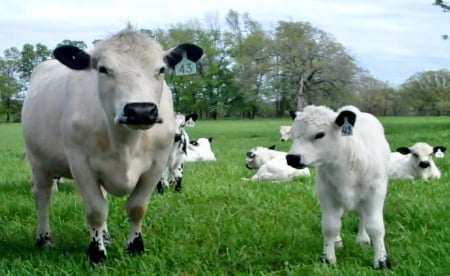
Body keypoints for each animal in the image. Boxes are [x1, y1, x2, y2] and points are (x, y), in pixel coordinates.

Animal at [21, 26, 203, 266]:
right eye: (103, 69)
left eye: (161, 69)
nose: (141, 110)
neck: (126, 144)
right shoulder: (80, 163)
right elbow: (96, 211)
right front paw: (96, 254)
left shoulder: (156, 165)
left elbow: (137, 207)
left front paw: (135, 247)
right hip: (38, 161)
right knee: (42, 196)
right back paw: (45, 239)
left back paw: (105, 236)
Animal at [286, 105, 392, 270]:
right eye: (292, 134)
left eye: (320, 134)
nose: (292, 158)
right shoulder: (326, 193)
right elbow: (330, 226)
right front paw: (328, 259)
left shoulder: (375, 192)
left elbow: (375, 227)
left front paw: (381, 261)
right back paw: (337, 241)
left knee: (362, 216)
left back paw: (363, 239)